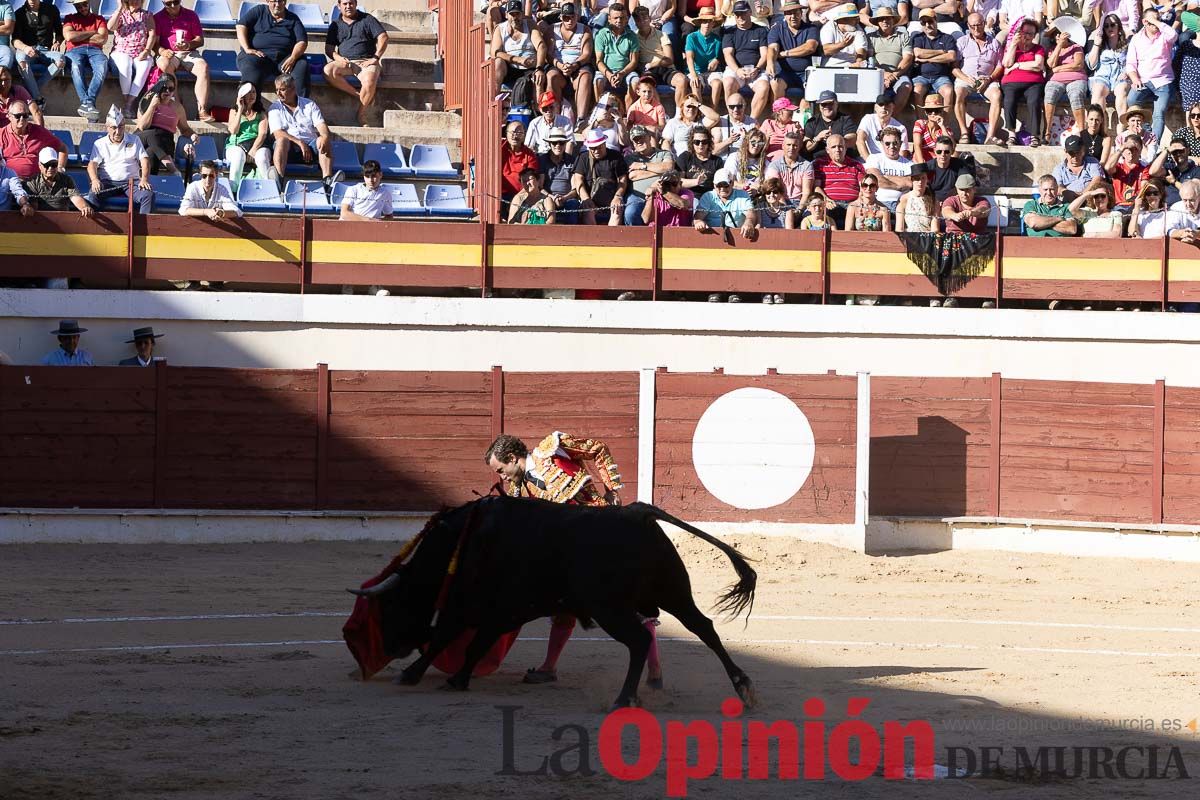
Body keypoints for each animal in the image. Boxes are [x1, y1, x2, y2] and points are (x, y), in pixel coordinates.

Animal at [350, 496, 758, 710]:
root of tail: (637, 511)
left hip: (610, 608)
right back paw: (742, 685)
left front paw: (412, 674)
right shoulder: (504, 611)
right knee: (703, 628)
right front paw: (458, 678)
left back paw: (625, 698)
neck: (460, 543)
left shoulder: (470, 605)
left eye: (389, 608)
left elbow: (444, 637)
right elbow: (475, 644)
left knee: (641, 640)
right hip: (672, 593)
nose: (392, 648)